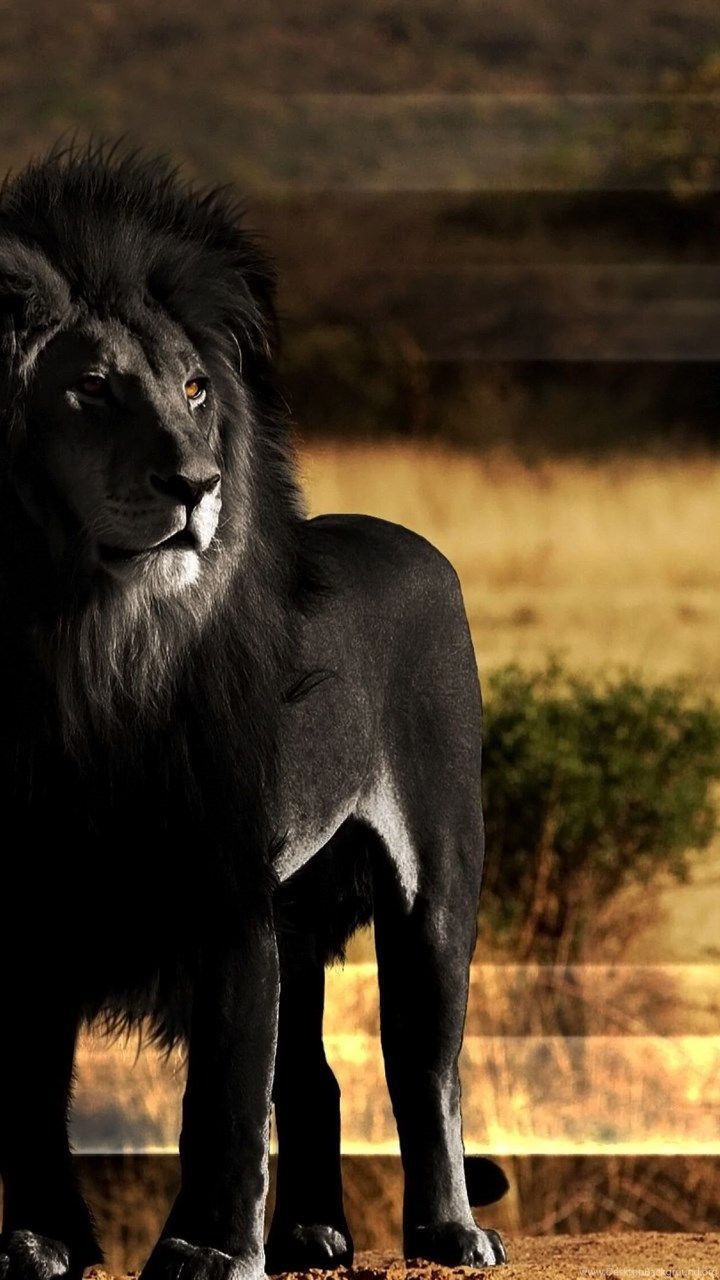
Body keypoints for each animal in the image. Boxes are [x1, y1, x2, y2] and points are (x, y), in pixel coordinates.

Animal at [0, 144, 508, 1280]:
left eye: (195, 388)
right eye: (91, 388)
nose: (197, 483)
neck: (87, 637)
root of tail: (417, 541)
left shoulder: (227, 891)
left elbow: (223, 1099)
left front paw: (206, 1252)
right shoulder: (32, 901)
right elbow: (29, 1093)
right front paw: (41, 1243)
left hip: (435, 881)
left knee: (427, 1064)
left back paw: (449, 1231)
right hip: (301, 908)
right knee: (315, 1077)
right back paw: (315, 1234)